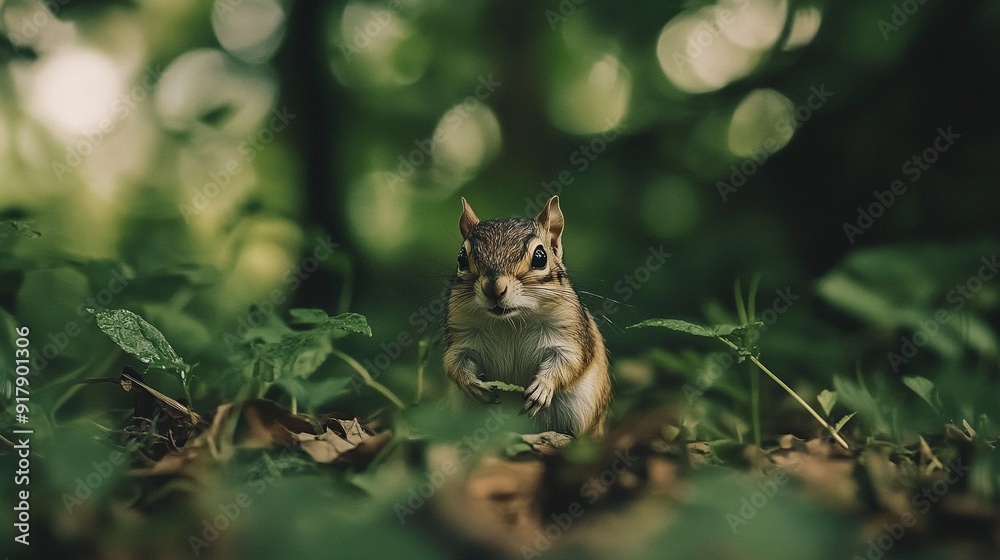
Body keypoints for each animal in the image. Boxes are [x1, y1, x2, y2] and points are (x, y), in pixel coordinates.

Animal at [443, 195, 612, 436]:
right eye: (461, 258)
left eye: (540, 257)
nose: (494, 289)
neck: (510, 322)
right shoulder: (460, 333)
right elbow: (454, 362)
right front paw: (471, 384)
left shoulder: (569, 333)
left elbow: (570, 362)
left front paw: (542, 387)